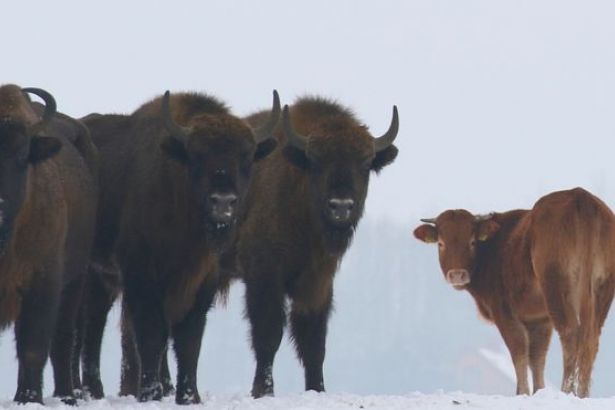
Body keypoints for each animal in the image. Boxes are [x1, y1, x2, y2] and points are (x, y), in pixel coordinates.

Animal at [0, 84, 97, 404]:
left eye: (22, 157)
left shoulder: (43, 282)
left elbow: (34, 347)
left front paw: (30, 399)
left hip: (75, 281)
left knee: (63, 340)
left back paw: (66, 395)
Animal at [79, 89, 280, 404]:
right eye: (197, 156)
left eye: (246, 158)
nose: (223, 202)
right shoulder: (142, 277)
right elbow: (152, 334)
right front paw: (150, 394)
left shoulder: (203, 282)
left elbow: (189, 339)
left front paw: (189, 397)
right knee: (87, 326)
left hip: (103, 278)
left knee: (93, 322)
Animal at [230, 96, 400, 398]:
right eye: (317, 161)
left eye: (365, 162)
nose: (341, 206)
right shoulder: (263, 275)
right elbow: (269, 333)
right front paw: (263, 391)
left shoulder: (318, 282)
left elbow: (313, 342)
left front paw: (317, 390)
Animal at [414, 188, 615, 398]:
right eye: (441, 243)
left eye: (471, 241)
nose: (457, 274)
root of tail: (580, 196)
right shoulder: (539, 319)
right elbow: (537, 357)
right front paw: (539, 391)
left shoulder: (504, 312)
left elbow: (518, 350)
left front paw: (522, 392)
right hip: (602, 290)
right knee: (591, 338)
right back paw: (583, 393)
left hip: (557, 287)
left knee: (570, 332)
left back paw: (567, 391)